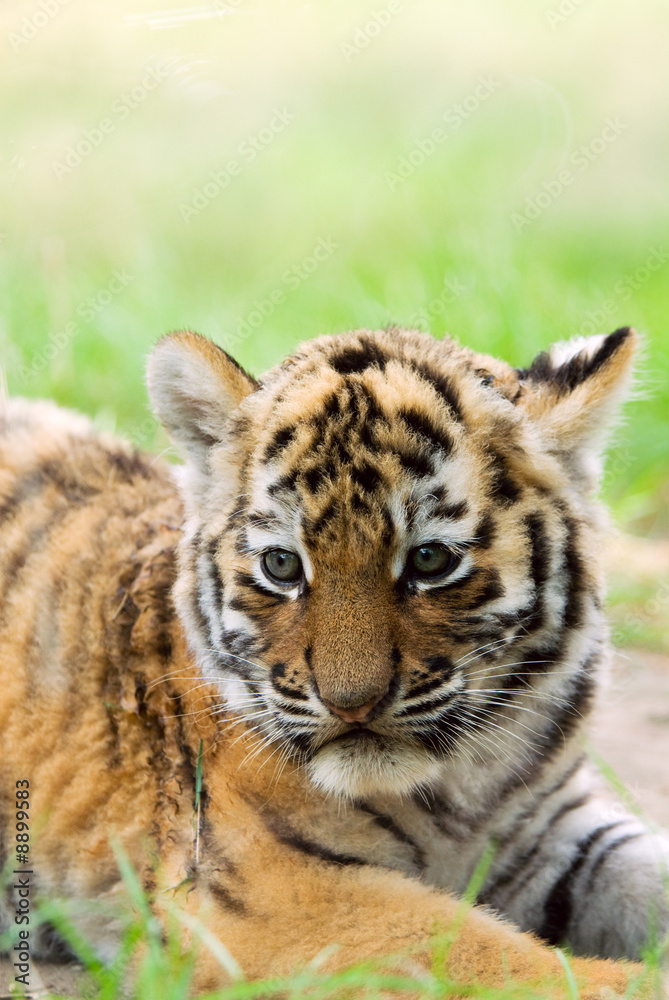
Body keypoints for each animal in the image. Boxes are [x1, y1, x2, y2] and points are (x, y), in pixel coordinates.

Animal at [0, 325, 666, 999]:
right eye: (282, 566)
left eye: (430, 560)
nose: (351, 704)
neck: (463, 790)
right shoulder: (272, 892)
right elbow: (493, 954)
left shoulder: (550, 831)